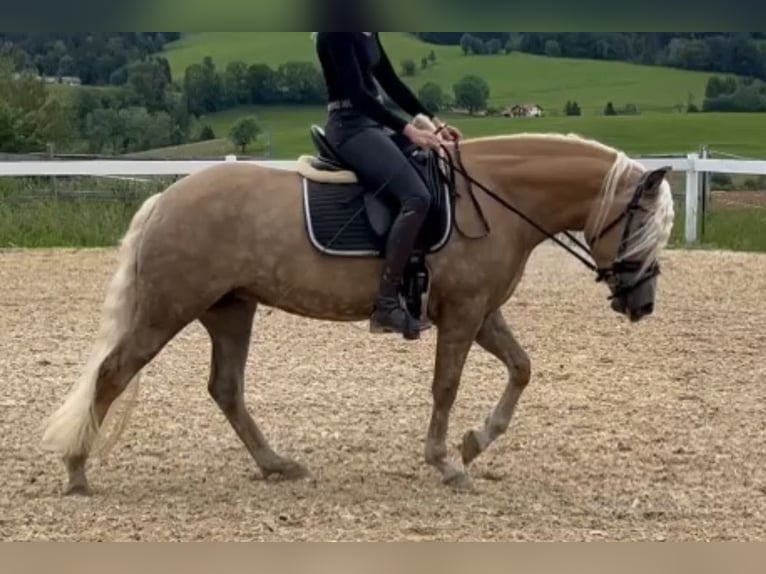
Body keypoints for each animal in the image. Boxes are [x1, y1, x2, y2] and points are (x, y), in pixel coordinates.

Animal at [42, 115, 680, 498]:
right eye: (642, 226)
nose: (642, 305)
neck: (497, 200)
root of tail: (166, 198)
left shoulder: (481, 312)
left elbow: (521, 368)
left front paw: (475, 442)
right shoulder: (464, 313)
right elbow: (446, 385)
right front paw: (446, 462)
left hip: (230, 310)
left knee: (225, 388)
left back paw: (277, 464)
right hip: (169, 308)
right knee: (113, 373)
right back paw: (77, 471)